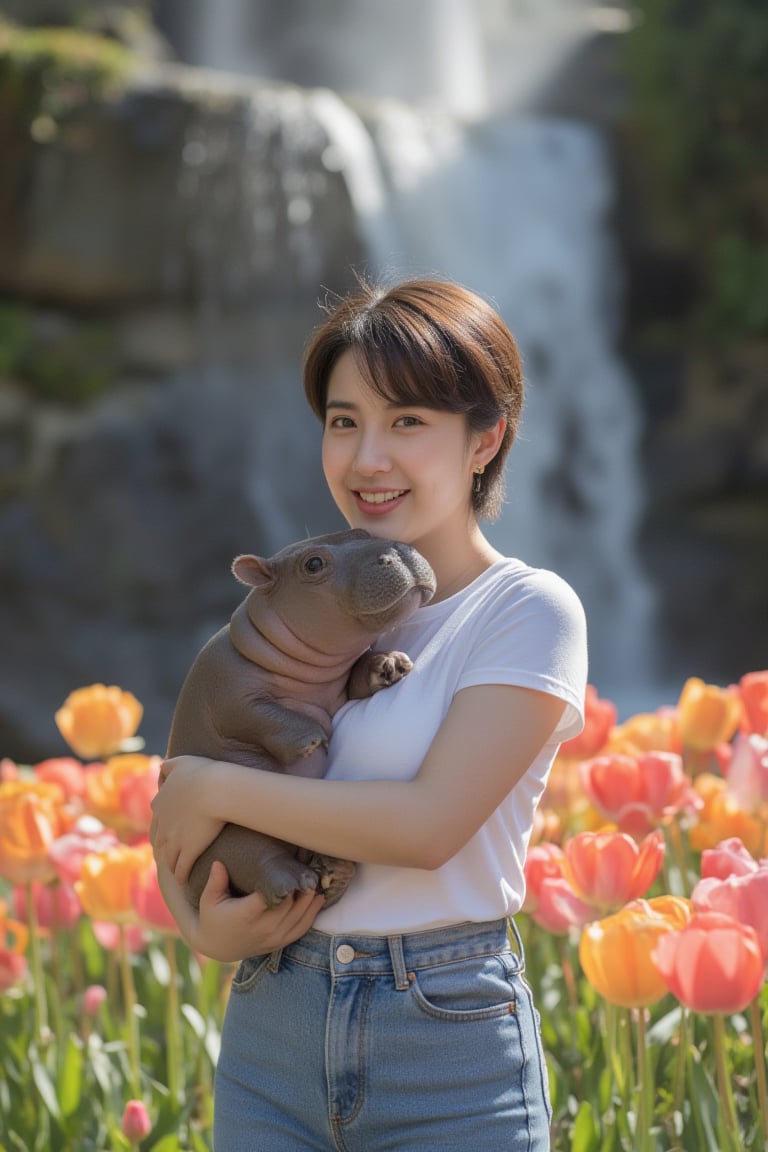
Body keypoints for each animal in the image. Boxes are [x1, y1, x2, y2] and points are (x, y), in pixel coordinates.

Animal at [165, 527, 435, 907]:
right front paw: (312, 741)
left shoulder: (341, 684)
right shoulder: (226, 692)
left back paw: (332, 872)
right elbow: (258, 712)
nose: (398, 549)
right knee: (252, 855)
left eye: (363, 532)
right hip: (230, 835)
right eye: (313, 564)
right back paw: (295, 882)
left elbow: (359, 674)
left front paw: (389, 664)